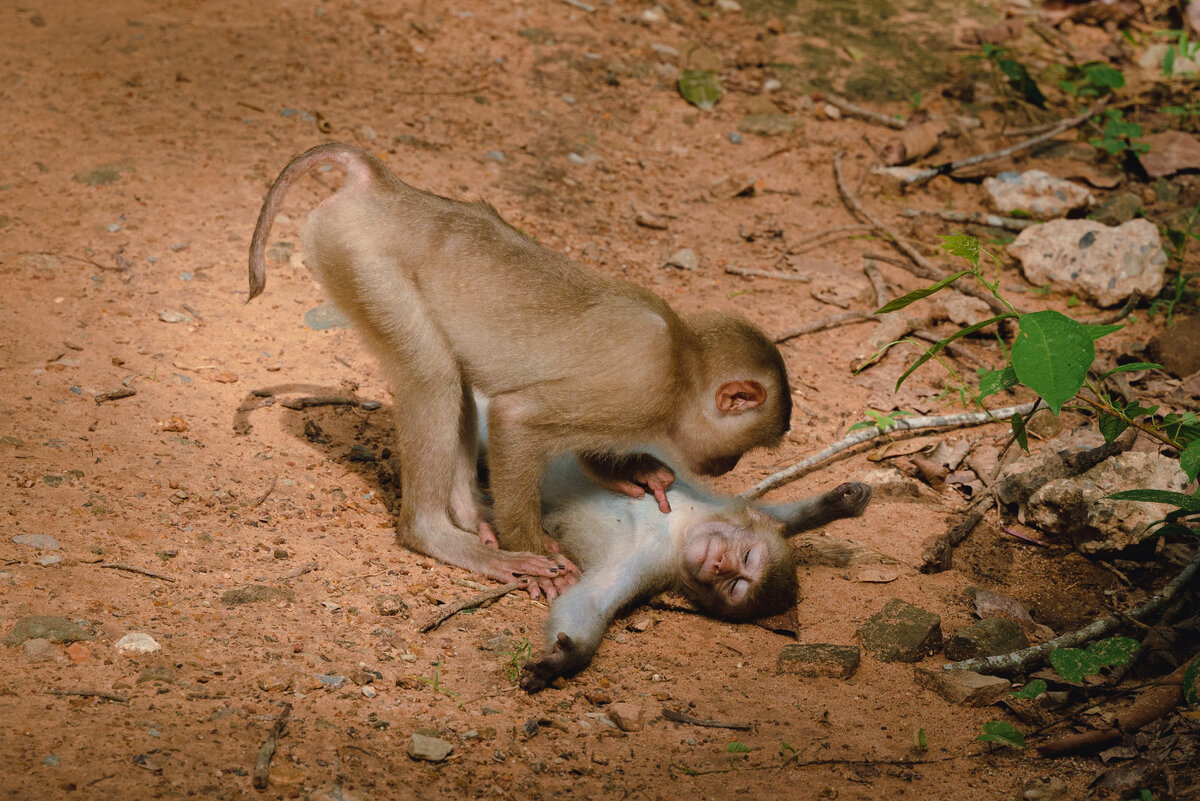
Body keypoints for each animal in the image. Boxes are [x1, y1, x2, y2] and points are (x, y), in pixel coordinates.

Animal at [248, 145, 792, 594]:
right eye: (742, 450)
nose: (727, 467)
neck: (682, 360)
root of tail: (382, 187)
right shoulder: (644, 390)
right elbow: (516, 418)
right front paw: (533, 550)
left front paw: (626, 469)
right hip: (361, 260)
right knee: (434, 374)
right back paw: (439, 535)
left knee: (454, 377)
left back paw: (470, 513)